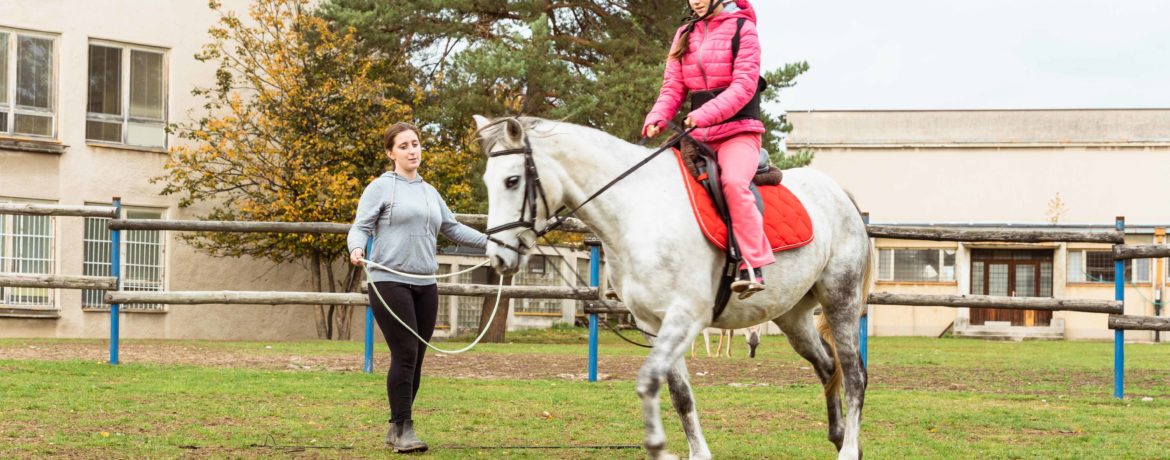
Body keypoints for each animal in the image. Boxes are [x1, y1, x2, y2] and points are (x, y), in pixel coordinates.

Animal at [472, 116, 870, 456]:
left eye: (512, 181)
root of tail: (839, 194)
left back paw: (849, 449)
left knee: (854, 374)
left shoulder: (685, 317)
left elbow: (649, 381)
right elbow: (680, 394)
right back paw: (838, 436)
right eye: (488, 182)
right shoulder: (653, 323)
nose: (499, 256)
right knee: (827, 365)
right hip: (793, 317)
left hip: (841, 301)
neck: (637, 210)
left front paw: (658, 446)